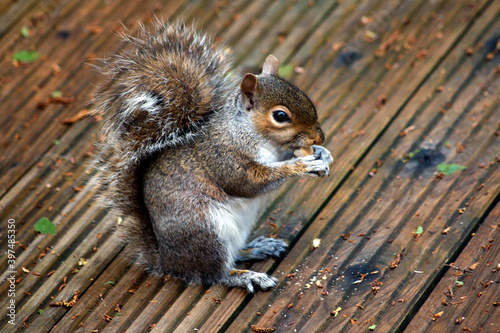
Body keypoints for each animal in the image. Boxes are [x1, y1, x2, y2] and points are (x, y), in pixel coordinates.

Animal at [92, 22, 334, 290]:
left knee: (233, 254)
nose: (319, 137)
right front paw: (300, 166)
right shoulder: (223, 157)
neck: (249, 132)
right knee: (214, 274)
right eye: (280, 116)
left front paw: (323, 154)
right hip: (207, 232)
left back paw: (257, 248)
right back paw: (246, 276)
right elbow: (248, 183)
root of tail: (168, 260)